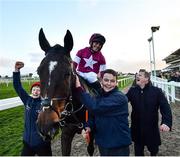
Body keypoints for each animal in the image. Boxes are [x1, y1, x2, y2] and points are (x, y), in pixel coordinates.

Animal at [36, 28, 94, 156]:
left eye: (67, 73)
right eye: (38, 71)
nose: (46, 125)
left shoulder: (91, 132)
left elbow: (91, 149)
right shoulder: (66, 134)